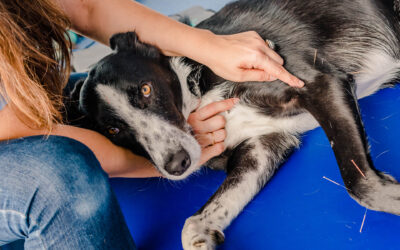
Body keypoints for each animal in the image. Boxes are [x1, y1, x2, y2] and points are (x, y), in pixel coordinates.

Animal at [65, 0, 400, 249]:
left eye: (145, 90)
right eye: (114, 131)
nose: (176, 165)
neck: (197, 88)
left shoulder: (320, 84)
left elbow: (360, 182)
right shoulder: (263, 147)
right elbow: (191, 225)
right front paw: (204, 235)